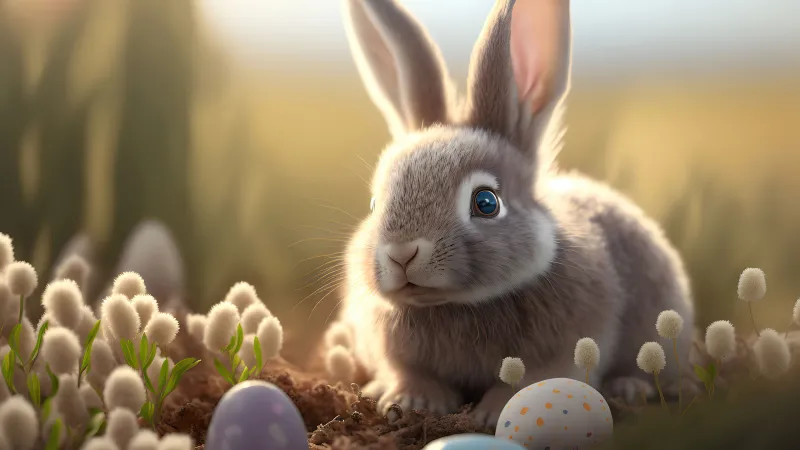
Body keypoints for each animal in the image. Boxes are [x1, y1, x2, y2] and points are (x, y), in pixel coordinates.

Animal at [334, 0, 695, 428]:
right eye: (375, 204)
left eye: (486, 202)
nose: (402, 253)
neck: (454, 304)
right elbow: (411, 373)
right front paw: (411, 401)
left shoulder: (564, 348)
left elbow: (529, 380)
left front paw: (493, 414)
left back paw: (630, 388)